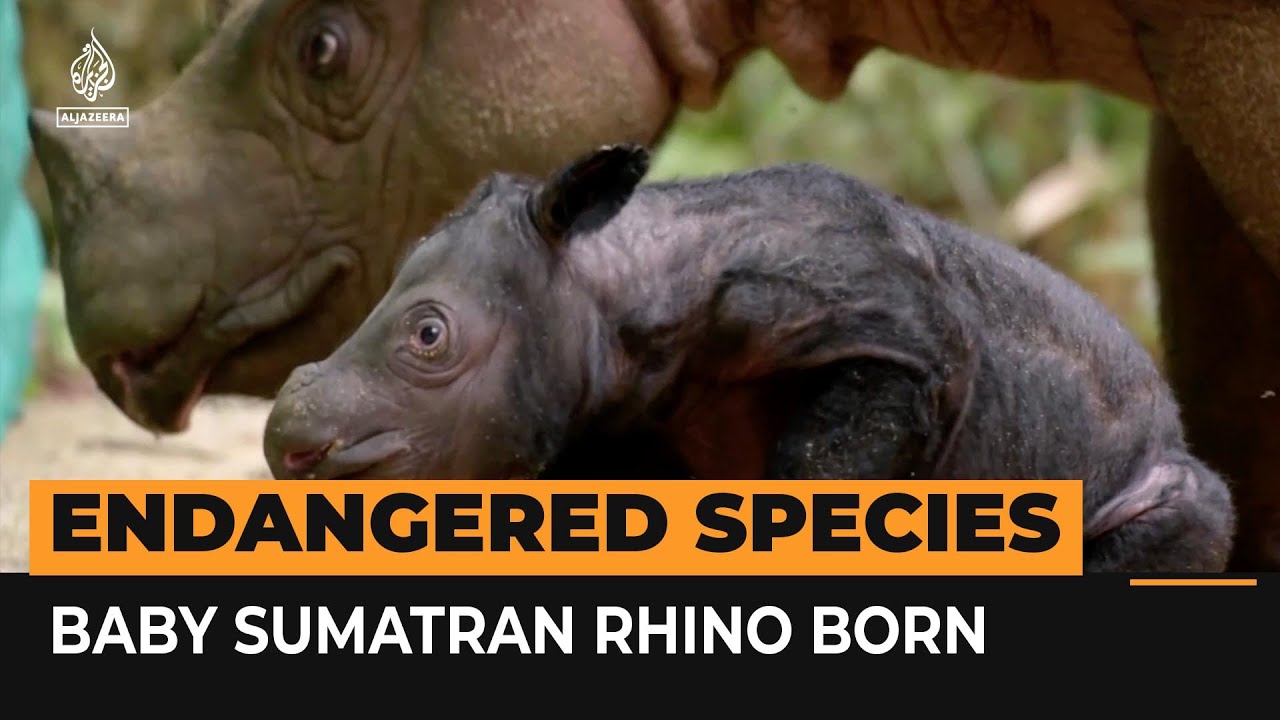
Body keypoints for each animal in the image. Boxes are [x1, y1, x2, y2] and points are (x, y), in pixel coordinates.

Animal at [27, 0, 1280, 570]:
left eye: (428, 338)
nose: (290, 446)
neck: (614, 280)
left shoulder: (891, 332)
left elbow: (834, 456)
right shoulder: (609, 419)